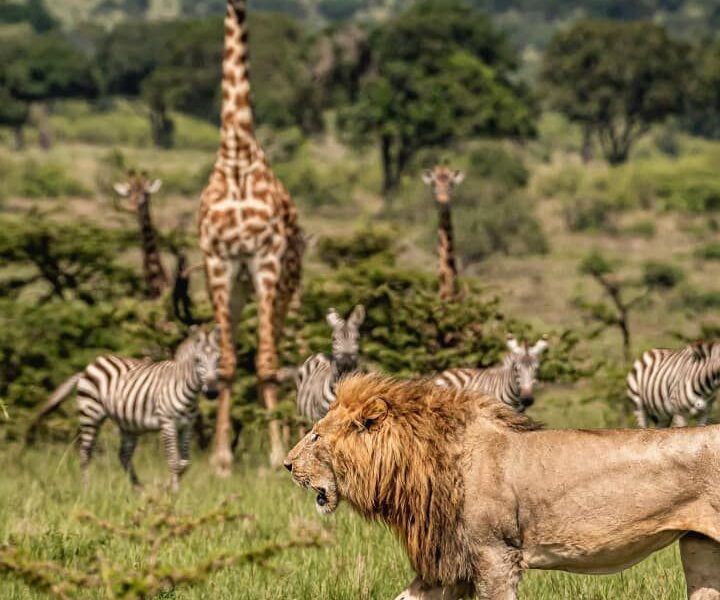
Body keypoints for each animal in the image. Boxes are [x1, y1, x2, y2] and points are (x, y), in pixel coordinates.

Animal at [26, 326, 219, 490]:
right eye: (197, 360)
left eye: (218, 359)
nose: (212, 392)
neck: (187, 389)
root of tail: (88, 367)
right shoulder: (167, 423)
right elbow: (174, 461)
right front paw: (171, 492)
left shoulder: (187, 426)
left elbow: (184, 463)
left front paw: (169, 488)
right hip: (90, 414)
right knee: (85, 453)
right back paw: (86, 490)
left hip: (129, 424)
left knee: (124, 456)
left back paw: (138, 489)